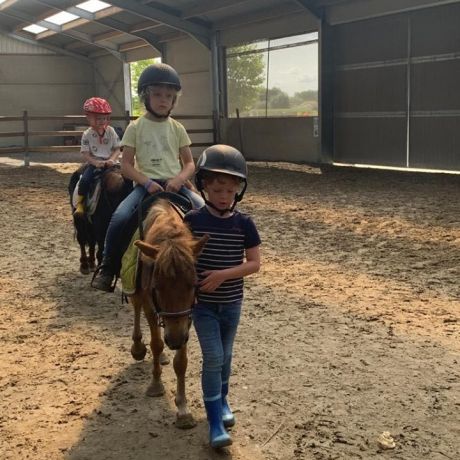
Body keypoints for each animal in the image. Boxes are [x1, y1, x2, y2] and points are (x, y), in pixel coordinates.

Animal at [129, 199, 208, 430]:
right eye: (157, 286)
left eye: (193, 284)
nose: (173, 339)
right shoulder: (150, 304)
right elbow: (155, 344)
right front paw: (155, 385)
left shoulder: (185, 319)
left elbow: (181, 362)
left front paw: (183, 409)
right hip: (136, 293)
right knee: (136, 307)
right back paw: (138, 347)